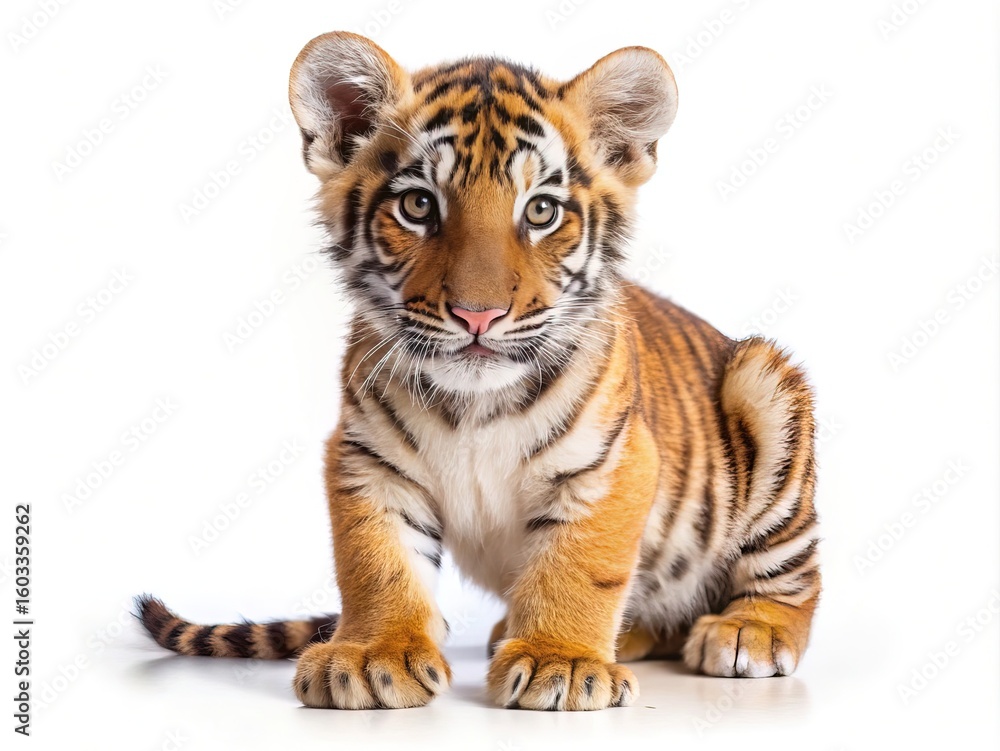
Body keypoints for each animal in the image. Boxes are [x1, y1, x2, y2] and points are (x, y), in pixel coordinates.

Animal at [137, 31, 821, 711]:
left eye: (541, 211)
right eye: (418, 205)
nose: (477, 314)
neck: (476, 405)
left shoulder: (611, 465)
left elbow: (579, 565)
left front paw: (561, 661)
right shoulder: (367, 459)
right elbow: (376, 562)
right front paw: (372, 655)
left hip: (763, 385)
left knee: (792, 577)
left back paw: (747, 633)